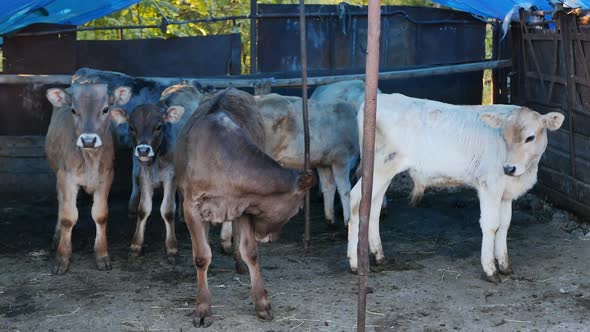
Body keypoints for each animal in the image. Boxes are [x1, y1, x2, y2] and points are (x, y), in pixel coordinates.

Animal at [45, 81, 133, 274]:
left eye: (106, 109)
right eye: (73, 110)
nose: (88, 140)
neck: (90, 159)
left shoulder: (106, 177)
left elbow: (100, 215)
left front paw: (102, 255)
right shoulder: (67, 177)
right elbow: (68, 217)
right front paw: (62, 258)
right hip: (57, 173)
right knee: (61, 202)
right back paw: (56, 237)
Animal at [175, 88, 316, 326]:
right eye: (298, 209)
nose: (272, 237)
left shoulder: (245, 205)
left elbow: (250, 251)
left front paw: (262, 304)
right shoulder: (191, 206)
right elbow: (201, 256)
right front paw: (202, 308)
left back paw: (238, 262)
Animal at [350, 93, 568, 282]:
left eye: (530, 137)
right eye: (503, 136)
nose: (508, 168)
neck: (525, 172)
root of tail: (380, 98)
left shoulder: (505, 193)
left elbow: (505, 225)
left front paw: (504, 265)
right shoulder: (489, 186)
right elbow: (491, 225)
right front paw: (490, 269)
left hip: (383, 171)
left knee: (373, 206)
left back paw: (378, 256)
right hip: (381, 165)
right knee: (355, 200)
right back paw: (354, 263)